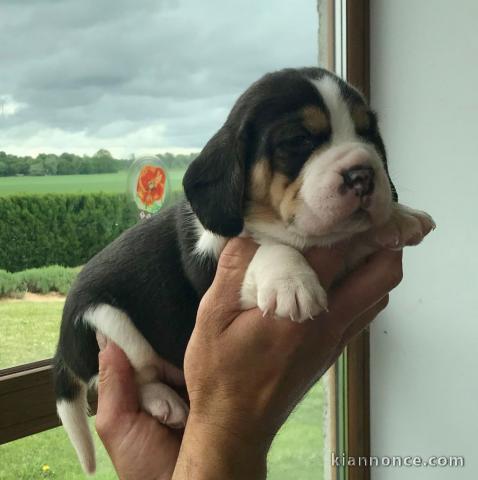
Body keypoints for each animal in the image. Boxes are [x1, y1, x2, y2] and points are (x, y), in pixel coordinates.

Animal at [53, 66, 436, 472]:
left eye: (367, 133)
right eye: (298, 140)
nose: (363, 175)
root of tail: (62, 348)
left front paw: (399, 217)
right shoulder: (216, 264)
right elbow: (264, 250)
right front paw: (289, 281)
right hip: (108, 321)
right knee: (131, 377)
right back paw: (163, 401)